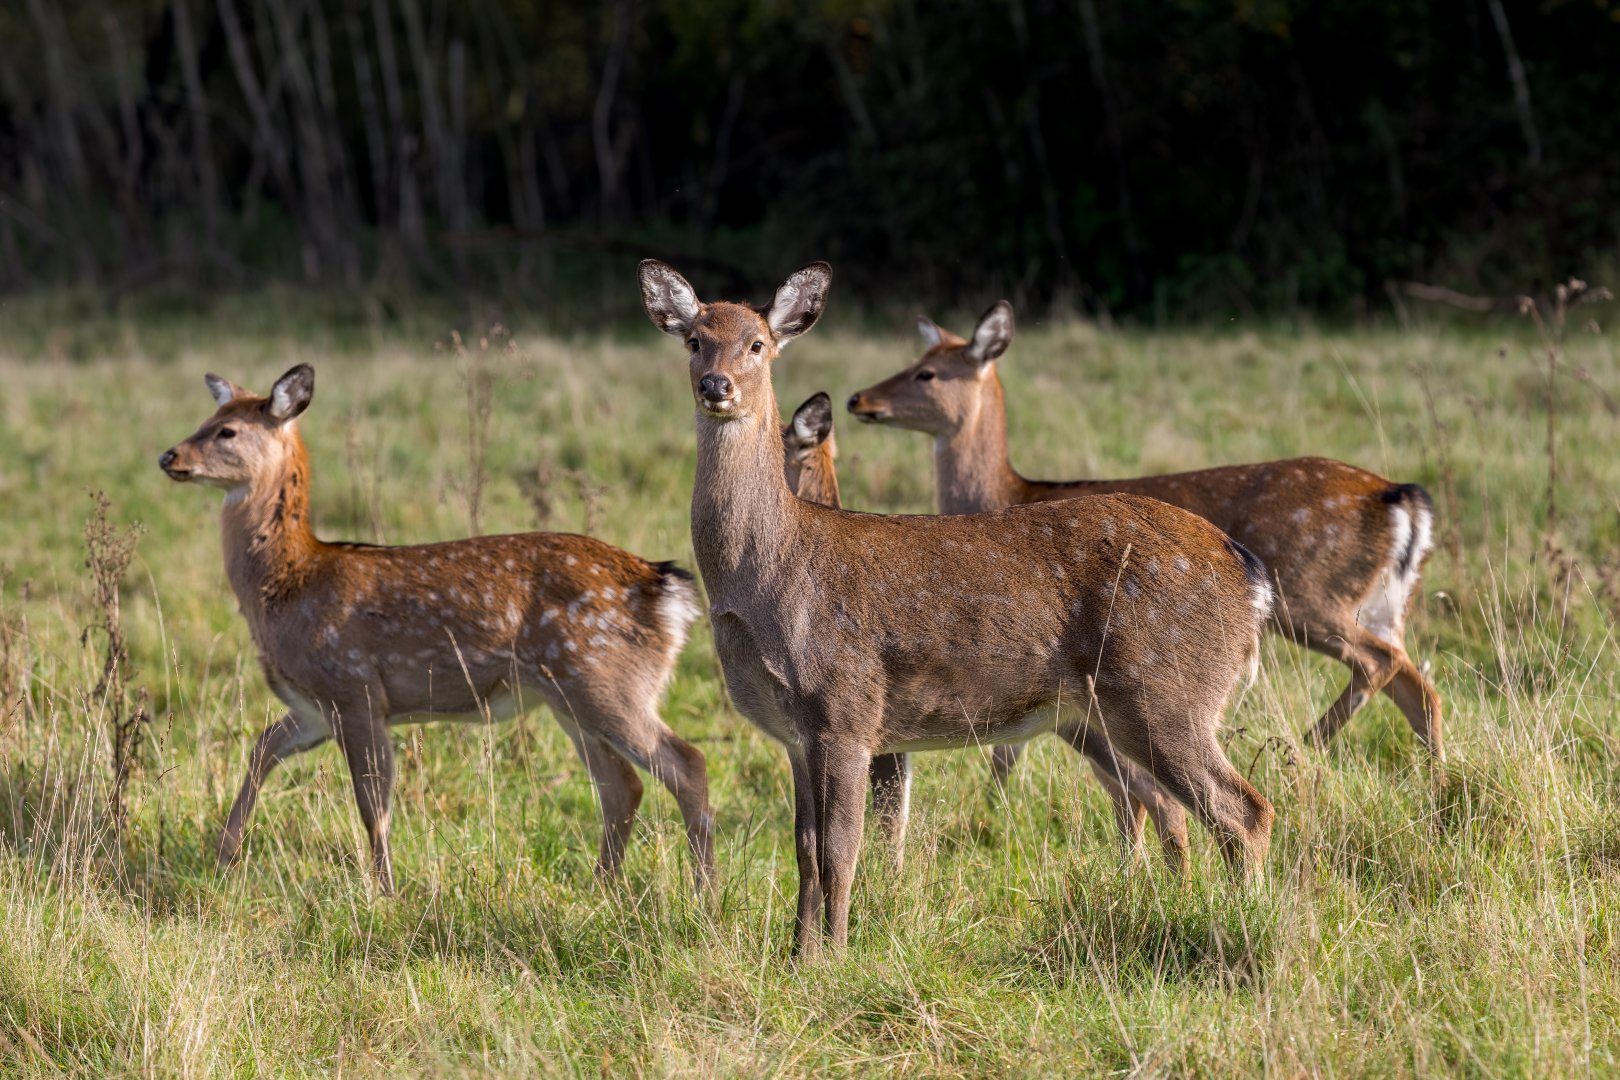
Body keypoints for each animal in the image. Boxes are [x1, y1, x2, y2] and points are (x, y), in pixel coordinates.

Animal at [158, 364, 714, 894]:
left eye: (226, 431)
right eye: (207, 419)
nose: (169, 456)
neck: (289, 587)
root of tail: (669, 591)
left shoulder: (353, 687)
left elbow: (372, 801)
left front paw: (385, 891)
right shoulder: (315, 706)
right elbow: (261, 750)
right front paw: (224, 857)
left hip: (604, 678)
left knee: (686, 763)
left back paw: (702, 893)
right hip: (570, 696)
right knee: (622, 786)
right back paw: (606, 888)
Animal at [846, 301, 1444, 788]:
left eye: (926, 373)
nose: (858, 398)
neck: (1007, 491)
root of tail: (1399, 497)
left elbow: (1007, 749)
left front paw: (998, 799)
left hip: (1309, 595)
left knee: (1380, 662)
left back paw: (1304, 745)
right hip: (1384, 605)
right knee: (1418, 683)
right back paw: (1433, 774)